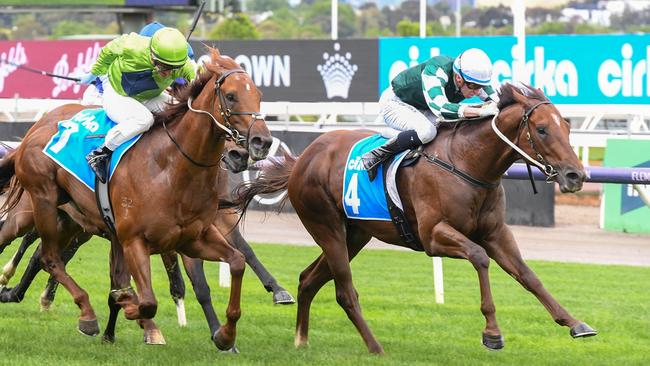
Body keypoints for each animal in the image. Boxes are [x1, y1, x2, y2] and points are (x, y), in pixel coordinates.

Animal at [0, 47, 270, 350]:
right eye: (231, 96)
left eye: (258, 94)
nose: (262, 142)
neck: (171, 168)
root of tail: (36, 128)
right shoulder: (134, 240)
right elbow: (147, 301)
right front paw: (131, 307)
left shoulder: (192, 238)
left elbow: (236, 260)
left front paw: (225, 335)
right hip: (39, 202)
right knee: (46, 256)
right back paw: (85, 313)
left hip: (70, 220)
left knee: (42, 254)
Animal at [235, 84, 596, 354]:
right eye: (542, 129)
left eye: (567, 126)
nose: (575, 175)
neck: (467, 163)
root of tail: (303, 159)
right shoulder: (433, 235)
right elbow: (479, 257)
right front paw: (492, 332)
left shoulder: (496, 232)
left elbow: (528, 275)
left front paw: (575, 323)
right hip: (327, 227)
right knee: (345, 292)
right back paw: (375, 347)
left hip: (355, 234)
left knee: (309, 279)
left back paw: (302, 340)